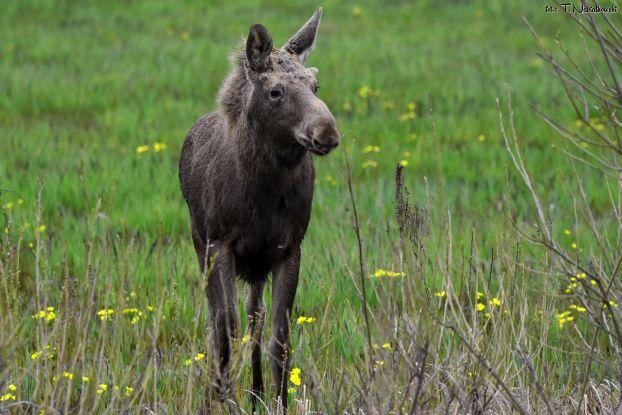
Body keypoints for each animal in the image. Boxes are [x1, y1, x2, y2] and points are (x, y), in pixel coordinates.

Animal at [179, 8, 342, 408]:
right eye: (275, 91)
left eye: (315, 85)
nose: (327, 133)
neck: (263, 192)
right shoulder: (221, 245)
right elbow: (226, 330)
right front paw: (224, 400)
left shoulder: (289, 248)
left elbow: (279, 338)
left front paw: (278, 401)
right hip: (201, 244)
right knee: (217, 320)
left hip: (256, 266)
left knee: (256, 316)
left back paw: (255, 392)